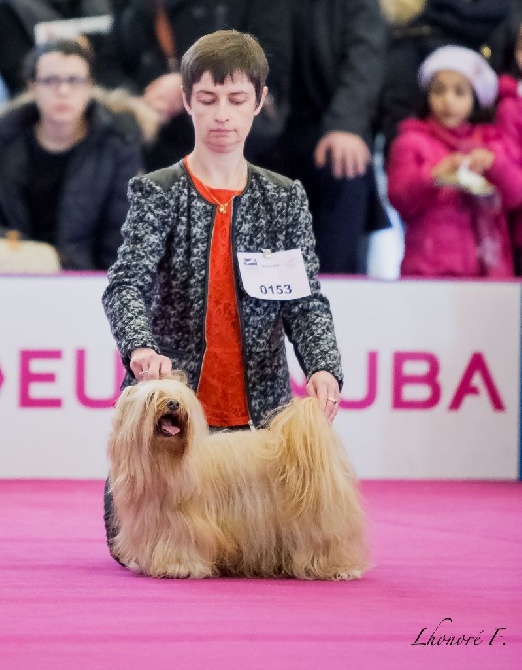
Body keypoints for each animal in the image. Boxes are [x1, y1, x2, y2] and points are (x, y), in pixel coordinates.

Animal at [105, 376, 366, 580]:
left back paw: (337, 568)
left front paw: (177, 567)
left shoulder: (184, 524)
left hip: (317, 520)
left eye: (179, 398)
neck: (162, 463)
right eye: (152, 397)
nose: (173, 403)